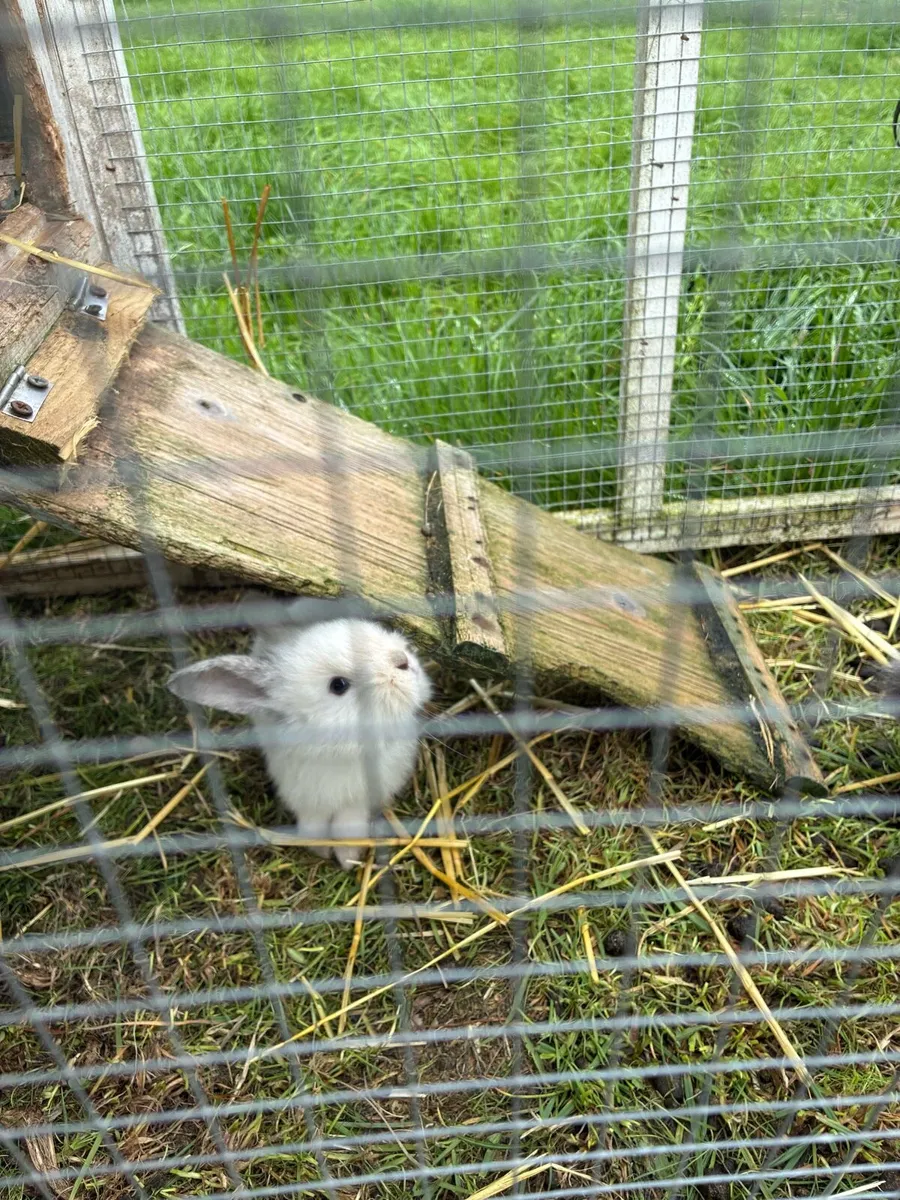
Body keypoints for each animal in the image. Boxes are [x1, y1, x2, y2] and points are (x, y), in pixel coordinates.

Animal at [167, 614, 432, 869]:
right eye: (338, 685)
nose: (402, 660)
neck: (335, 751)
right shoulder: (306, 800)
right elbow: (313, 827)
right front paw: (321, 851)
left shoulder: (359, 800)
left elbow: (348, 825)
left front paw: (347, 859)